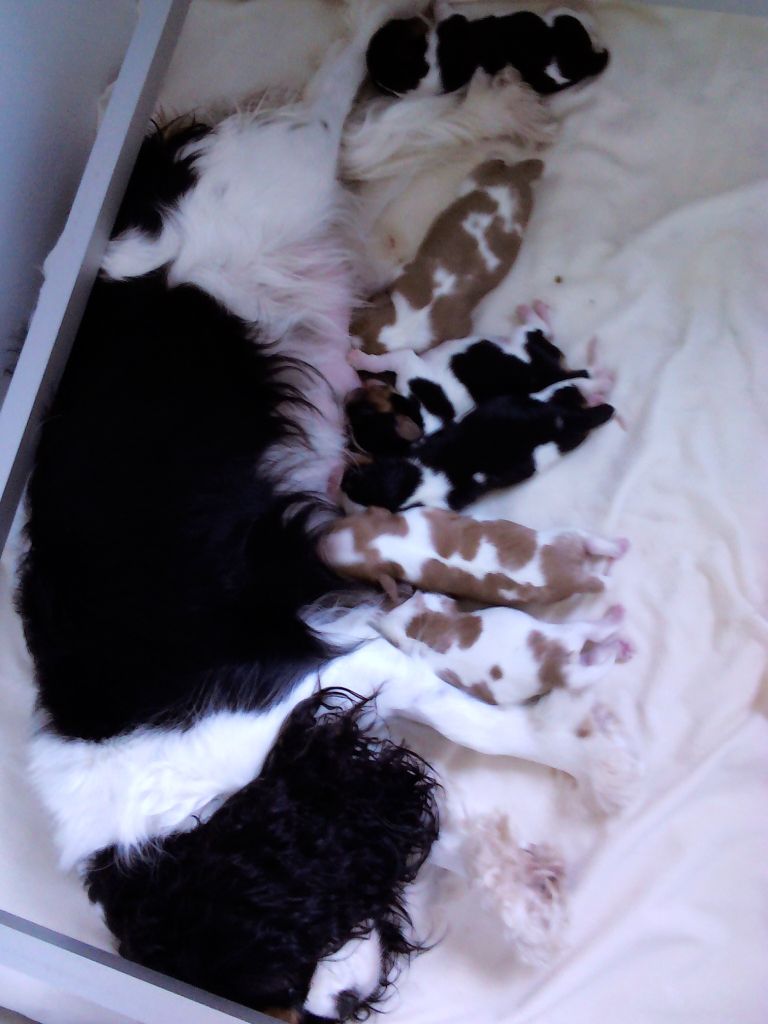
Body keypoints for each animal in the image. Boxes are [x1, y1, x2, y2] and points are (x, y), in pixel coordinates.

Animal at [366, 4, 610, 98]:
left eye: (394, 25)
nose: (412, 17)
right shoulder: (455, 22)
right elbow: (447, 11)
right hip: (563, 17)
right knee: (580, 20)